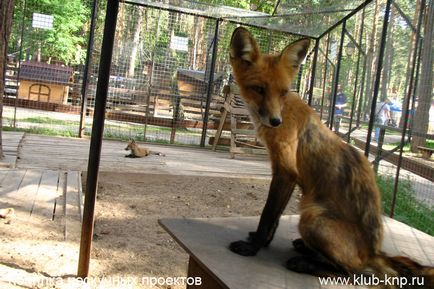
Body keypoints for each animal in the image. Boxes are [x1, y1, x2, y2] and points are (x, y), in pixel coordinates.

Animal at [229, 26, 432, 286]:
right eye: (259, 89)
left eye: (283, 92)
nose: (275, 121)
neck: (285, 110)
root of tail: (374, 252)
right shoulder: (284, 174)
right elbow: (275, 218)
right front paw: (262, 242)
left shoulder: (286, 172)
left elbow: (267, 216)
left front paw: (253, 247)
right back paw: (306, 249)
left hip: (311, 217)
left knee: (354, 272)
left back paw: (304, 262)